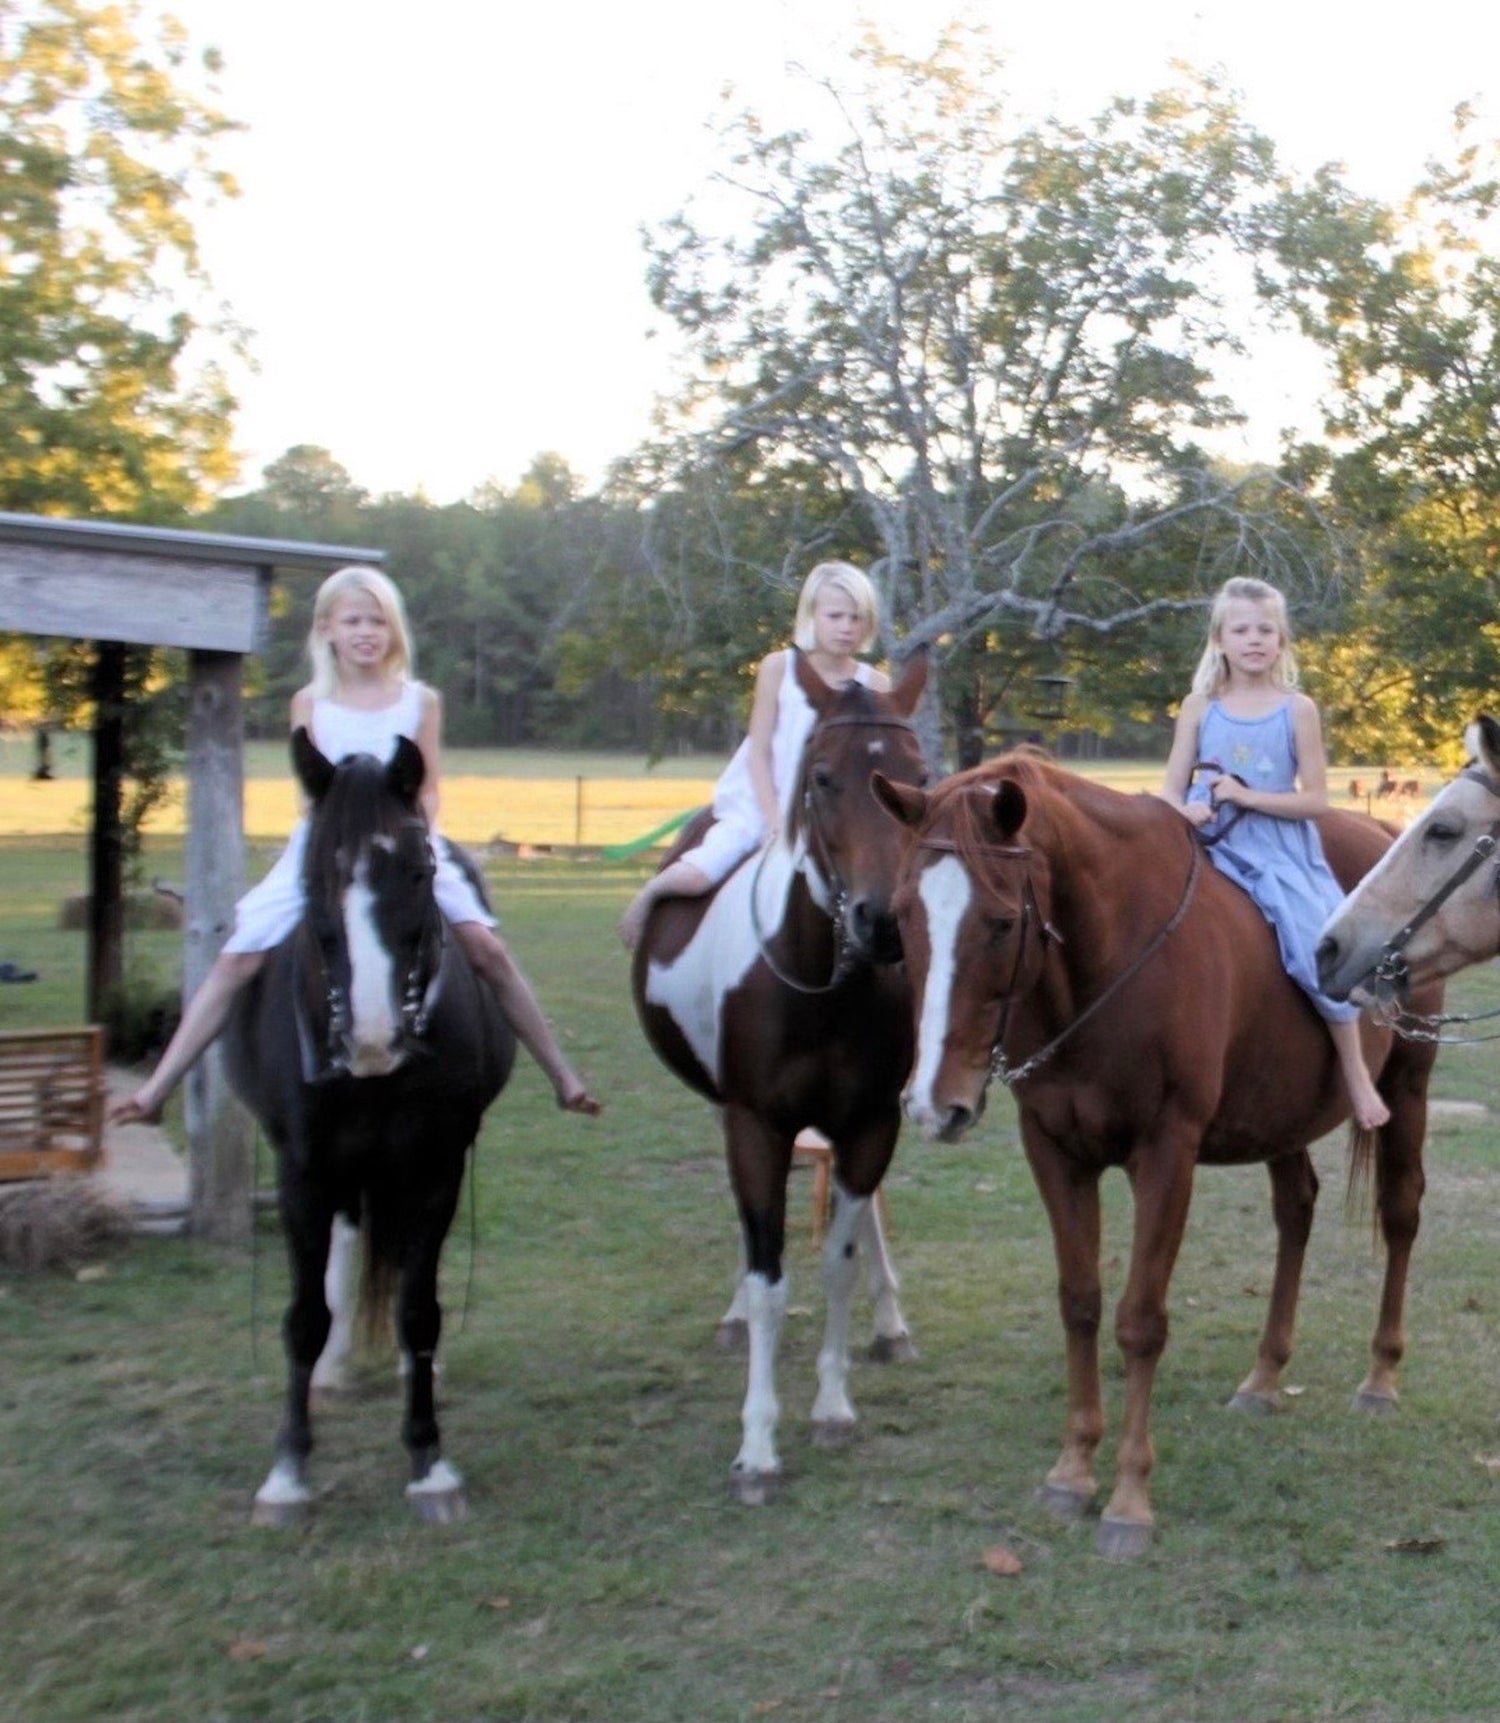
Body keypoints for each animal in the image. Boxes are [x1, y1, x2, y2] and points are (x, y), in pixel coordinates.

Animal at [223, 727, 516, 1523]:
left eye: (420, 872)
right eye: (313, 873)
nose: (374, 1036)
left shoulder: (438, 1164)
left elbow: (419, 1309)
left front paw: (429, 1461)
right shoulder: (301, 1170)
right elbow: (302, 1316)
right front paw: (287, 1472)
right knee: (346, 1251)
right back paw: (333, 1367)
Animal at [630, 651, 929, 1502]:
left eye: (918, 776)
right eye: (823, 777)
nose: (880, 922)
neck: (820, 982)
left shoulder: (871, 1121)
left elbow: (838, 1258)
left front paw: (832, 1405)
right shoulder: (754, 1123)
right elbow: (770, 1278)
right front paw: (757, 1446)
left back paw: (890, 1324)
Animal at [878, 754, 1439, 1564]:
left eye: (1002, 922)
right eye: (900, 917)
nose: (933, 1103)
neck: (1110, 956)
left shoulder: (1167, 1154)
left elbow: (1140, 1319)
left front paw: (1129, 1500)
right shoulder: (1053, 1151)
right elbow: (1080, 1304)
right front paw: (1072, 1470)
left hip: (1409, 1082)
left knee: (1400, 1214)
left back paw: (1380, 1377)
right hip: (1280, 1115)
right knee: (1295, 1210)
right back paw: (1264, 1377)